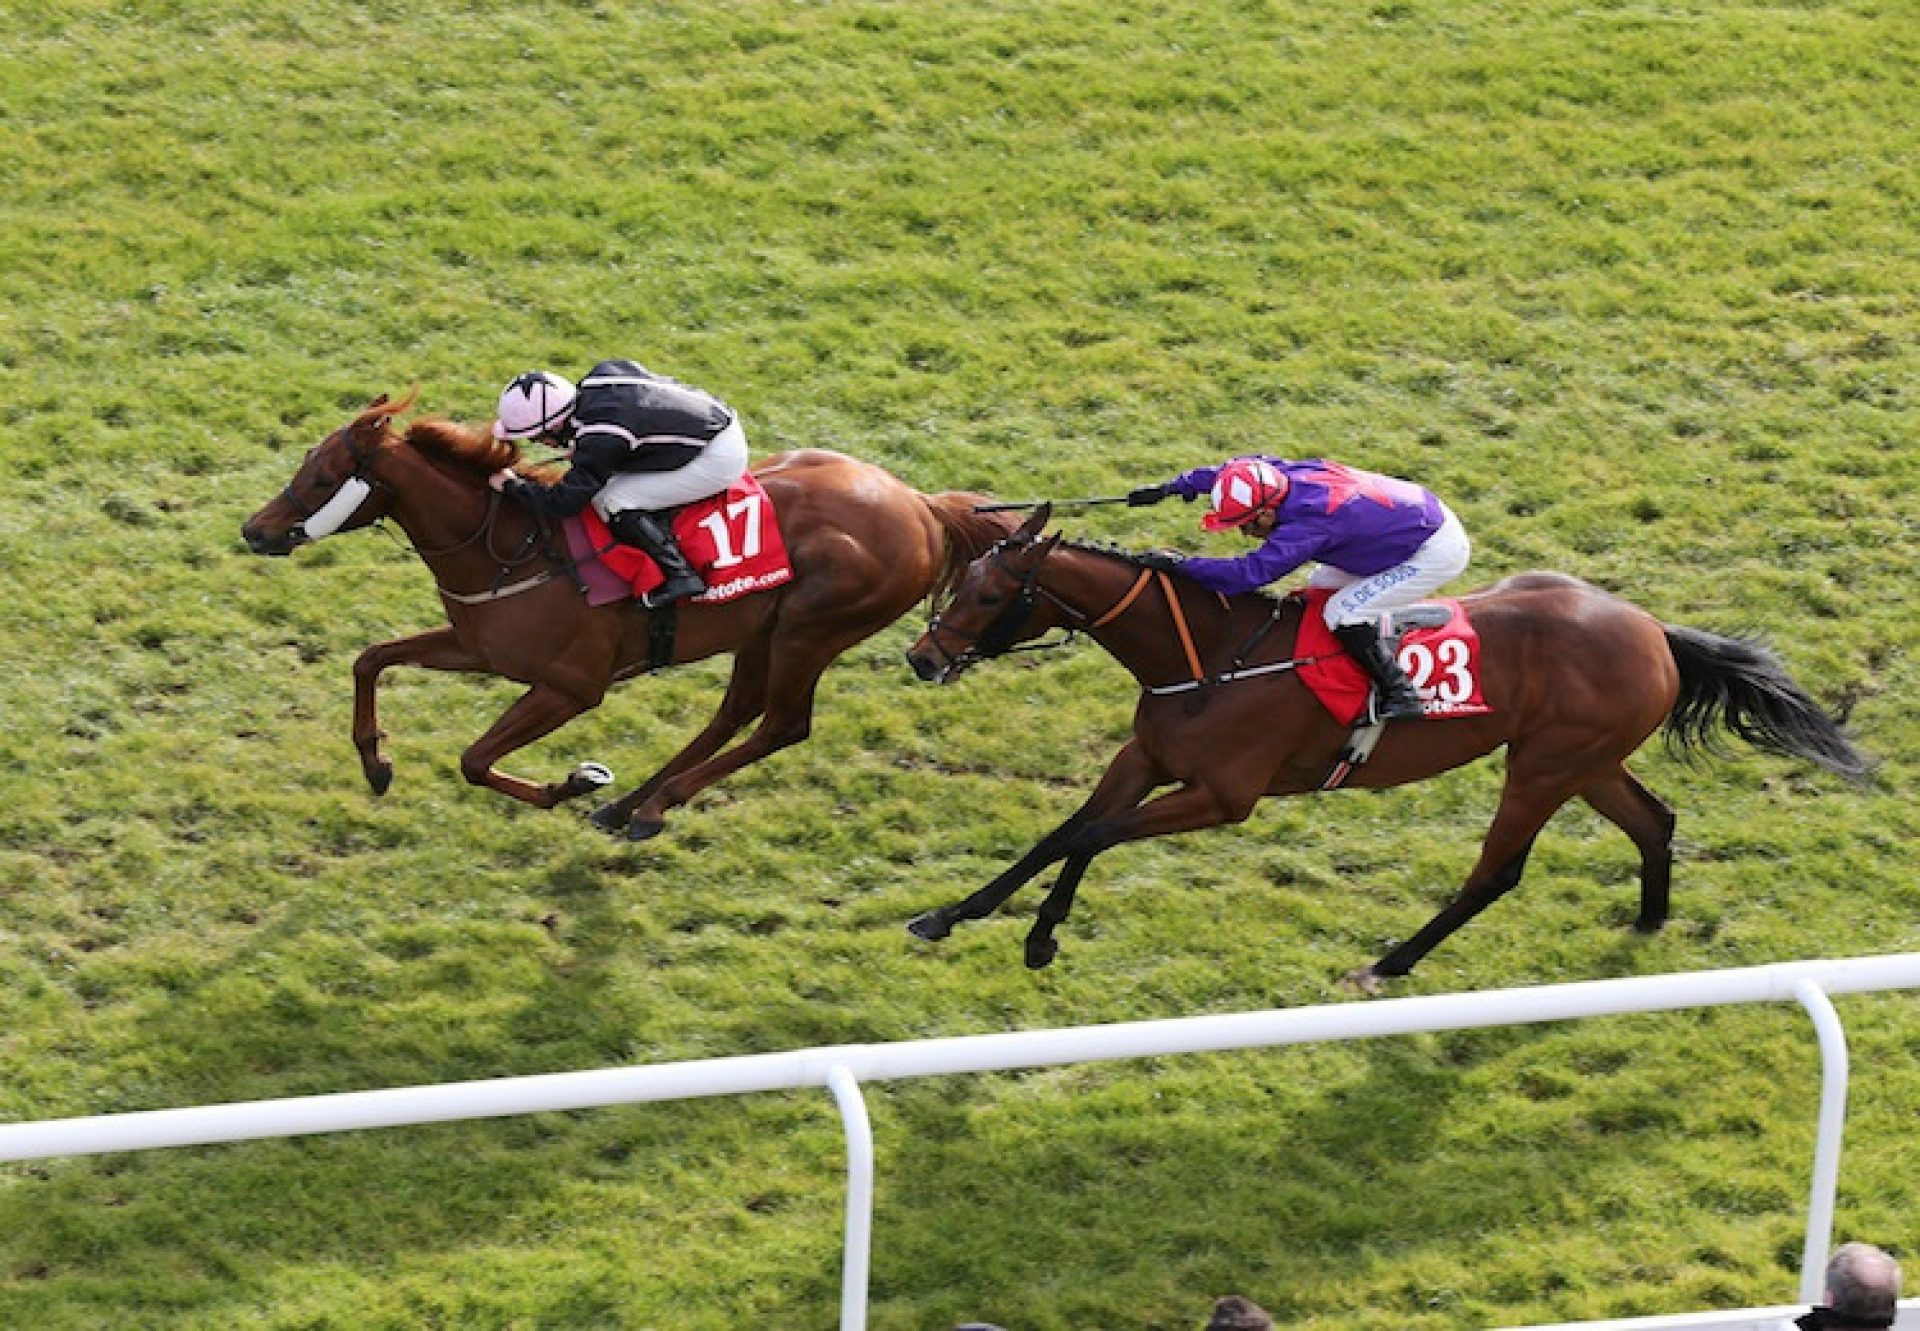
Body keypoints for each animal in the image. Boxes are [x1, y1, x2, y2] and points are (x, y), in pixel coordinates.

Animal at [240, 389, 990, 837]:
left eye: (323, 477)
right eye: (306, 461)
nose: (254, 530)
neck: (509, 547)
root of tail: (921, 506)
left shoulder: (571, 687)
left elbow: (475, 760)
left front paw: (568, 783)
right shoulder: (476, 646)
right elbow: (371, 658)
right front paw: (375, 762)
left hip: (812, 631)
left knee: (782, 724)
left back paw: (651, 806)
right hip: (762, 627)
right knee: (735, 713)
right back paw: (630, 802)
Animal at [902, 503, 1873, 991]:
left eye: (987, 595)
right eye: (964, 579)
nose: (921, 657)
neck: (1208, 656)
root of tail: (1653, 630)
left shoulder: (1222, 796)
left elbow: (1092, 837)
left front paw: (1039, 938)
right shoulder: (1144, 761)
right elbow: (1062, 831)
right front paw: (951, 914)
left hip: (1544, 764)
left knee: (1499, 871)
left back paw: (1390, 961)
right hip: (1587, 760)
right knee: (1654, 820)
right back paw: (1649, 921)